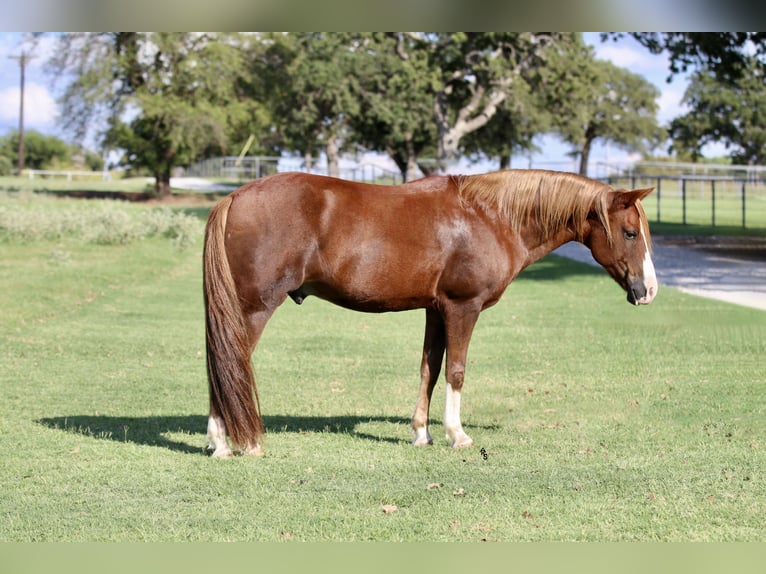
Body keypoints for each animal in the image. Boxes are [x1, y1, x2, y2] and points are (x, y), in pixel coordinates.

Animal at [203, 169, 658, 458]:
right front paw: (457, 434)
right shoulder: (462, 307)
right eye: (630, 233)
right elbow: (456, 370)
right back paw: (231, 443)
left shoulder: (436, 310)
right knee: (229, 365)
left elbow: (430, 369)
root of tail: (235, 197)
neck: (489, 216)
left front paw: (421, 434)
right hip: (253, 310)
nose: (648, 291)